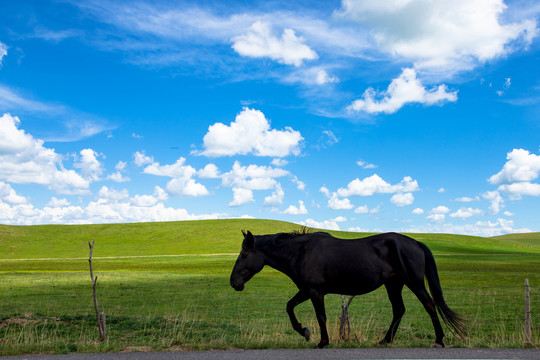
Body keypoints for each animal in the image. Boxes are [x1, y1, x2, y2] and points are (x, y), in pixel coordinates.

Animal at [230, 231, 466, 348]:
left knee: (429, 305)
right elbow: (289, 307)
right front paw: (304, 331)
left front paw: (322, 341)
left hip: (414, 283)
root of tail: (415, 243)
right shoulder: (307, 290)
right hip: (393, 284)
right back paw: (385, 340)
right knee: (399, 310)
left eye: (244, 254)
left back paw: (439, 340)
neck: (301, 252)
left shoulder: (315, 292)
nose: (234, 282)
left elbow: (321, 316)